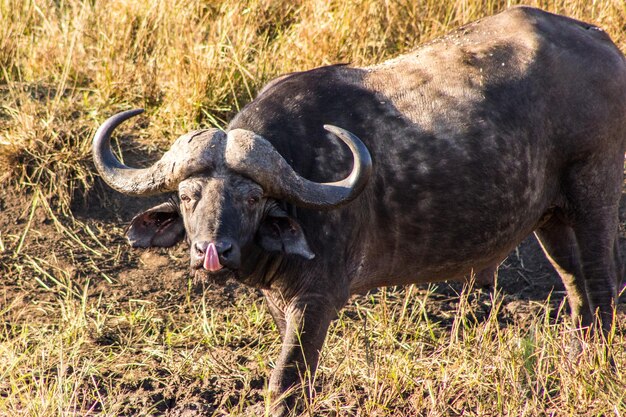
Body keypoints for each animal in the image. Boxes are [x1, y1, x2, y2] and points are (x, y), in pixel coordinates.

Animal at [92, 7, 624, 416]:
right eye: (188, 196)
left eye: (251, 198)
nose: (212, 250)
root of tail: (600, 40)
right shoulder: (281, 301)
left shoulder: (317, 299)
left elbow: (287, 382)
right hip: (550, 218)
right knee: (577, 290)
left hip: (594, 195)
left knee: (602, 286)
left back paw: (598, 368)